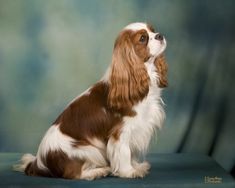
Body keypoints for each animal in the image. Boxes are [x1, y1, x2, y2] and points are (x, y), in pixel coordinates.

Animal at [13, 22, 168, 181]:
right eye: (143, 38)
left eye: (153, 30)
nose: (160, 35)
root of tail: (39, 162)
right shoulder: (121, 132)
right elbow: (125, 153)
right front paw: (129, 172)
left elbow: (131, 153)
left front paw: (136, 166)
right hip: (87, 150)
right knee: (73, 174)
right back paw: (99, 171)